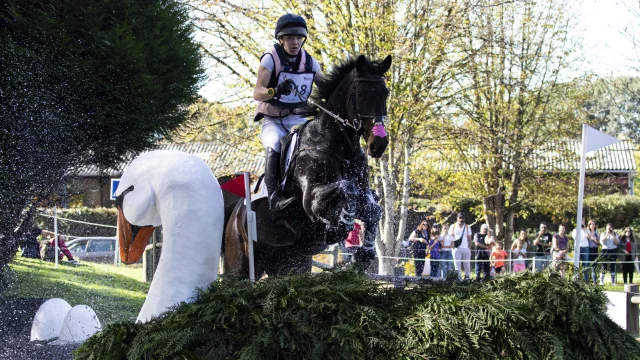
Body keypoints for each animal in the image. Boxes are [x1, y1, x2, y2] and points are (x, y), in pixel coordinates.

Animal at [225, 54, 390, 278]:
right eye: (360, 94)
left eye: (386, 93)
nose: (379, 144)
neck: (340, 149)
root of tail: (235, 213)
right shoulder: (312, 200)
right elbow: (348, 188)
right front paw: (342, 225)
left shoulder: (364, 195)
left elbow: (374, 209)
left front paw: (364, 254)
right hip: (240, 265)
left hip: (288, 263)